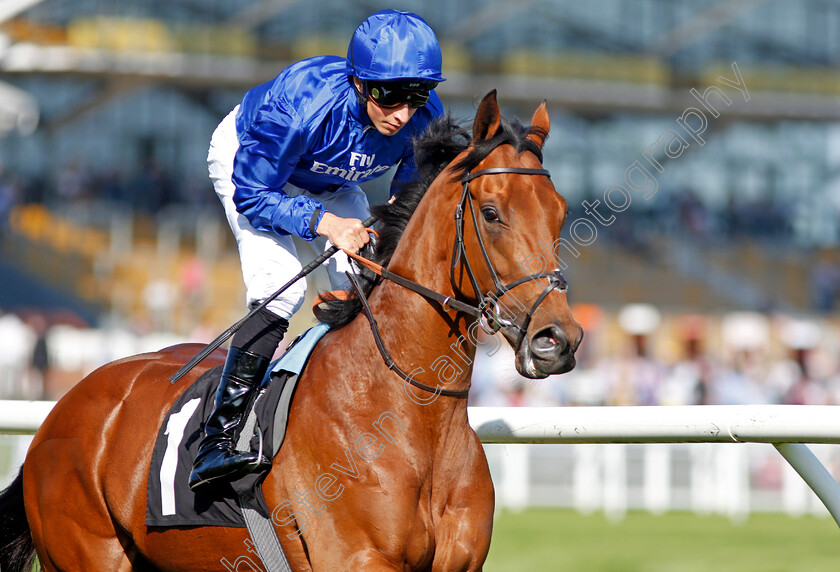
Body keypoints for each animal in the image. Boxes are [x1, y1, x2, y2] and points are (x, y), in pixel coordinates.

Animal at [0, 91, 576, 568]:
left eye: (560, 212)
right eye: (492, 212)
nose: (558, 340)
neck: (411, 415)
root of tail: (63, 409)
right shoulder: (357, 560)